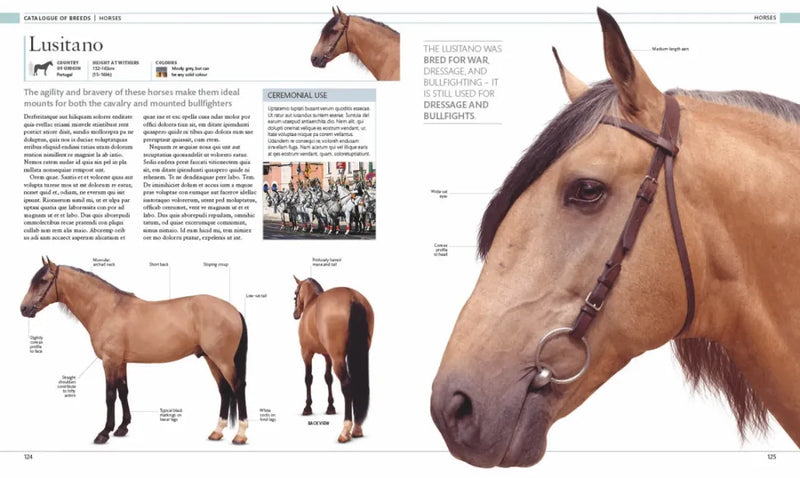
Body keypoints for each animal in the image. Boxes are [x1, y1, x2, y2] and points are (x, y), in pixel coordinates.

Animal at [20, 258, 249, 445]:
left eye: (43, 280)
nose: (23, 309)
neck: (106, 309)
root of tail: (234, 310)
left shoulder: (110, 361)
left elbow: (110, 395)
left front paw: (104, 433)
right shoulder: (121, 362)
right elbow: (123, 392)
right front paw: (122, 428)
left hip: (223, 360)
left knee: (237, 387)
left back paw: (240, 435)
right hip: (211, 359)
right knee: (224, 391)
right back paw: (217, 432)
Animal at [292, 276, 374, 442]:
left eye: (295, 293)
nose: (295, 314)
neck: (311, 303)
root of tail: (352, 297)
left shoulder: (306, 353)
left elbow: (308, 378)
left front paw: (307, 408)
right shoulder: (327, 356)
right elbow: (328, 378)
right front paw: (330, 408)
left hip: (338, 359)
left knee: (347, 385)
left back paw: (345, 430)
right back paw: (357, 429)